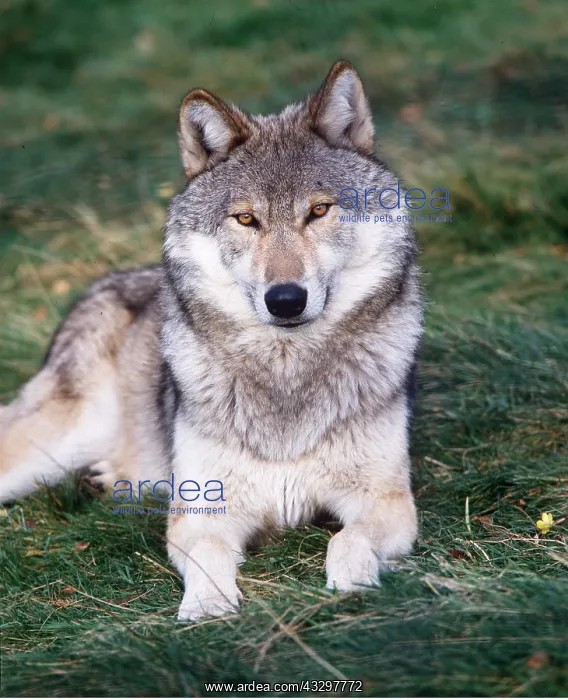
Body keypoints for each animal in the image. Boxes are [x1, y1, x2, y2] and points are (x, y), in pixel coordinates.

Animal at [0, 61, 423, 620]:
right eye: (246, 218)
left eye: (318, 211)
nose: (285, 299)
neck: (284, 380)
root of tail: (101, 285)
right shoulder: (202, 512)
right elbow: (209, 552)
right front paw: (206, 607)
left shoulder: (388, 502)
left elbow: (346, 539)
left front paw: (353, 586)